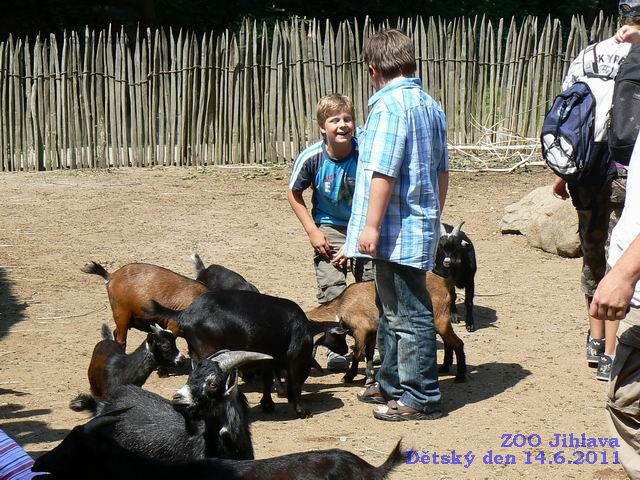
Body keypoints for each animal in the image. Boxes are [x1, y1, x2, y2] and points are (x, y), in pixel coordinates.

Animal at [148, 290, 312, 418]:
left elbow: (267, 380)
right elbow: (295, 384)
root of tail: (186, 312)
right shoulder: (295, 360)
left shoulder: (267, 361)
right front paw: (302, 411)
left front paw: (268, 405)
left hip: (195, 353)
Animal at [304, 274, 464, 386]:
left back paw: (460, 377)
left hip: (440, 320)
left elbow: (357, 353)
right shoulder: (371, 333)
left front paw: (349, 377)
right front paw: (369, 378)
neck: (342, 306)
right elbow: (368, 354)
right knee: (449, 343)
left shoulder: (361, 331)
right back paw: (444, 367)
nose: (343, 351)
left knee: (458, 343)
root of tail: (445, 282)